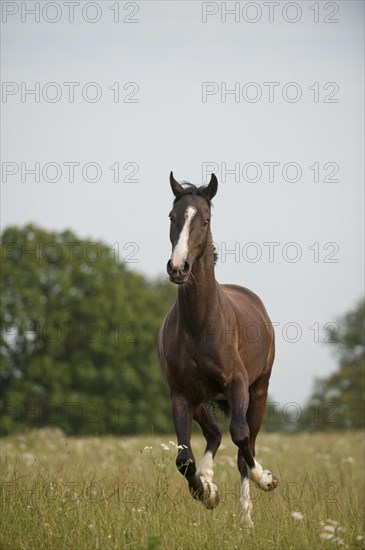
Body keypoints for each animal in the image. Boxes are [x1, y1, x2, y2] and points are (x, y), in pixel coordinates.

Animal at [155, 174, 278, 532]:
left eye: (205, 220)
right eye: (172, 217)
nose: (178, 268)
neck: (199, 324)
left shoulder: (237, 385)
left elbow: (241, 437)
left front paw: (266, 479)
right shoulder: (180, 395)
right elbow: (184, 459)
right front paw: (207, 493)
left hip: (258, 391)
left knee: (244, 444)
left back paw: (247, 515)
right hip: (200, 399)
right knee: (213, 433)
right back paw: (209, 480)